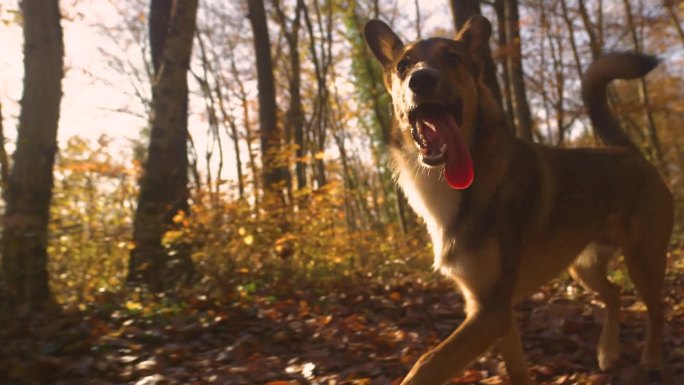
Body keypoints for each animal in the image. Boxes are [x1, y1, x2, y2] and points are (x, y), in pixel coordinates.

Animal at [364, 15, 672, 384]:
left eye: (452, 58)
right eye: (403, 65)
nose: (421, 79)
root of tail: (629, 152)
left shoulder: (492, 310)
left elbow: (427, 363)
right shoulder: (489, 308)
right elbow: (515, 368)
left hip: (643, 260)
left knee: (656, 308)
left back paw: (652, 358)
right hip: (582, 268)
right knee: (615, 295)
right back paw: (608, 352)